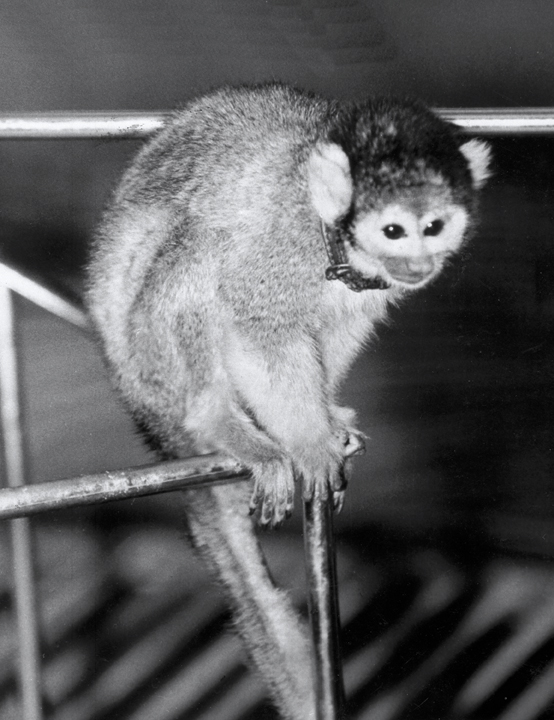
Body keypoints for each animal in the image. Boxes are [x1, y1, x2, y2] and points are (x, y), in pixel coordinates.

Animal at [86, 82, 491, 720]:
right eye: (394, 231)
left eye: (434, 226)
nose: (419, 264)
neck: (334, 237)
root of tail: (145, 413)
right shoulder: (283, 244)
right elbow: (258, 328)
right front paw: (308, 440)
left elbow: (338, 328)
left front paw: (327, 417)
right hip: (150, 364)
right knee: (199, 247)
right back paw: (218, 420)